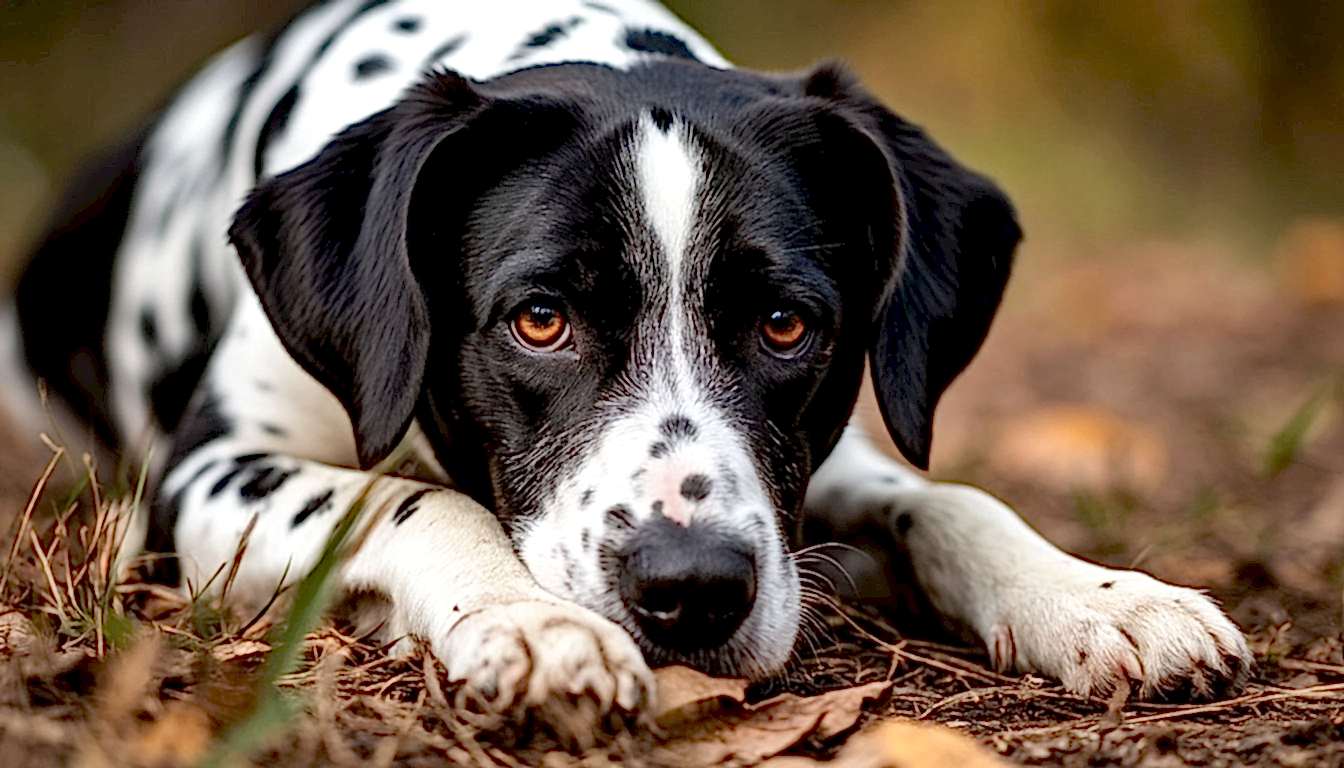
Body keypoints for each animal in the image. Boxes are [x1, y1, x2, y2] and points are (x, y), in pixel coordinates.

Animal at [3, 0, 1250, 725]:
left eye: (787, 324)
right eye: (539, 320)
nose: (690, 590)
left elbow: (947, 500)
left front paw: (1100, 597)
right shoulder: (209, 472)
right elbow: (415, 500)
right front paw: (531, 622)